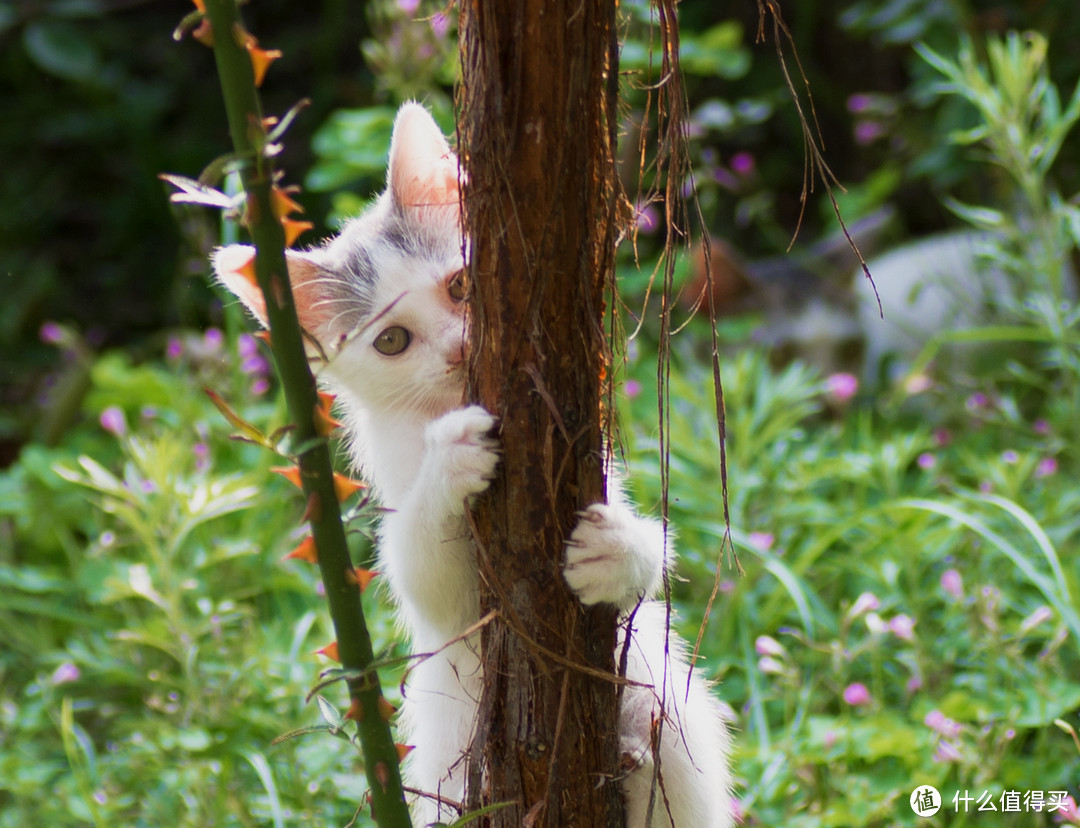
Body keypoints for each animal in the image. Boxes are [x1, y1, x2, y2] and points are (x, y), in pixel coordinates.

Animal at [210, 103, 734, 828]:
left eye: (461, 284)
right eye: (391, 341)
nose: (461, 348)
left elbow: (651, 562)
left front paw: (615, 549)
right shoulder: (439, 594)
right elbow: (431, 577)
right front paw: (451, 463)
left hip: (664, 704)